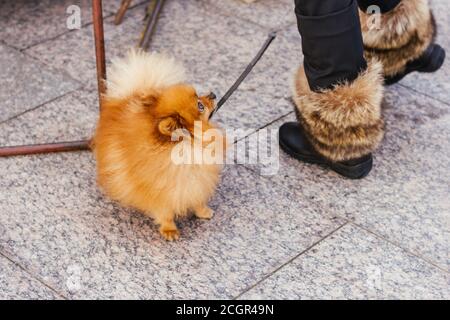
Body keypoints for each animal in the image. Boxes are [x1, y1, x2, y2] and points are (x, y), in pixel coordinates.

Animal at [93, 49, 225, 240]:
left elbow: (197, 197)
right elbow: (165, 211)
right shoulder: (159, 188)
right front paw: (170, 229)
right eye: (200, 105)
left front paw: (203, 211)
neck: (188, 148)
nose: (213, 94)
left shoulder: (198, 179)